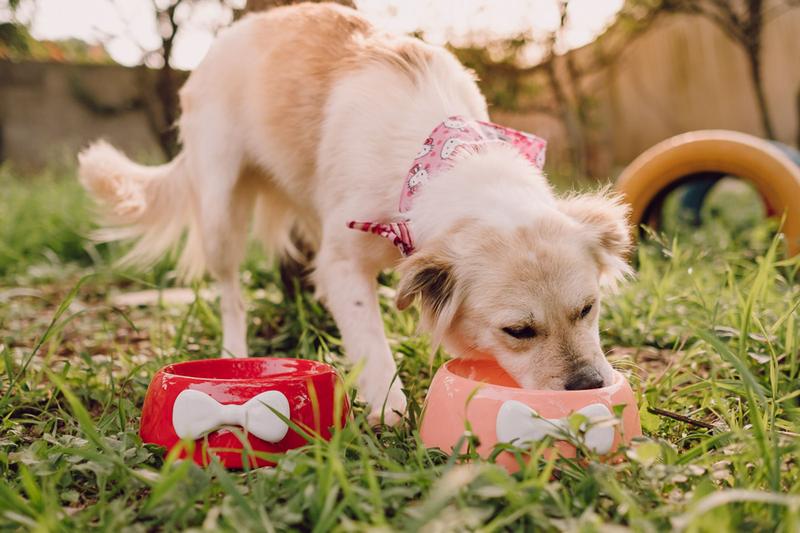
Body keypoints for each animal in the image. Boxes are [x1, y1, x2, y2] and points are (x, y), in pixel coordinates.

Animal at [79, 1, 632, 424]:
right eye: (518, 331)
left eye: (588, 309)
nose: (588, 385)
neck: (442, 156)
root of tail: (223, 39)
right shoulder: (341, 263)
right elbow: (370, 341)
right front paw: (390, 405)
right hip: (220, 212)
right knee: (231, 292)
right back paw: (235, 351)